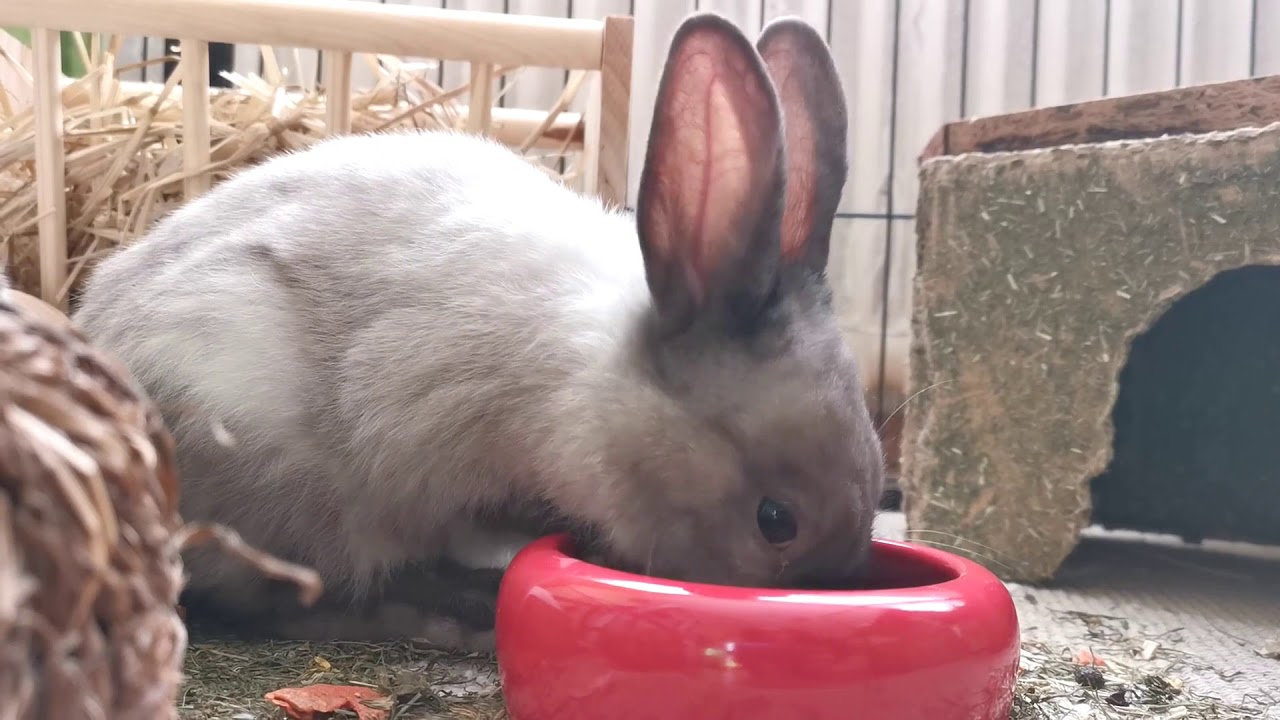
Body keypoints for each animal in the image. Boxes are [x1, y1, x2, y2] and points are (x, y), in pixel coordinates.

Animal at [70, 12, 884, 652]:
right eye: (776, 521)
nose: (826, 587)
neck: (589, 382)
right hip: (264, 455)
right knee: (286, 600)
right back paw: (446, 616)